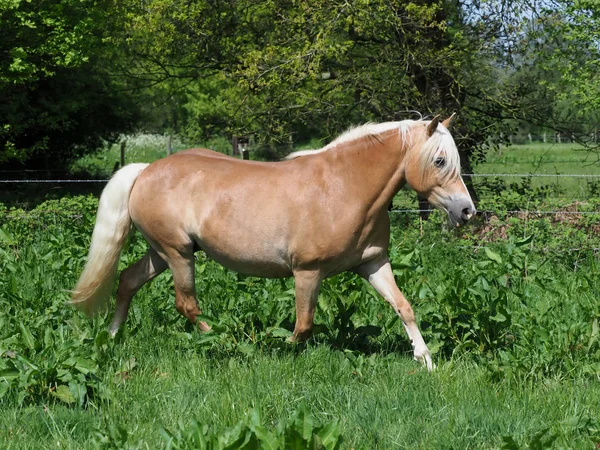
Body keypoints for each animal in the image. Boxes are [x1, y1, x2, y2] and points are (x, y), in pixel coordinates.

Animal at [71, 115, 474, 370]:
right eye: (440, 160)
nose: (467, 210)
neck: (344, 188)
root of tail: (145, 170)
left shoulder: (373, 264)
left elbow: (403, 307)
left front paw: (425, 359)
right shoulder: (307, 272)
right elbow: (304, 325)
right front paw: (281, 353)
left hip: (161, 254)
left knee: (127, 282)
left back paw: (111, 337)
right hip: (178, 254)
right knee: (187, 305)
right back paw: (225, 343)